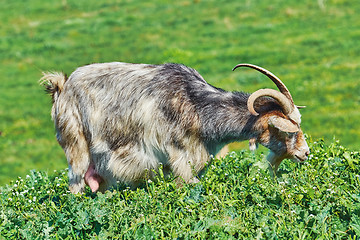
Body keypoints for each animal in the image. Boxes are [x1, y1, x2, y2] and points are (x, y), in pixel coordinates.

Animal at [40, 62, 310, 193]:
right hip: (76, 143)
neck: (197, 106)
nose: (305, 153)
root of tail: (61, 86)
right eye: (289, 128)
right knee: (75, 184)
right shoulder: (182, 160)